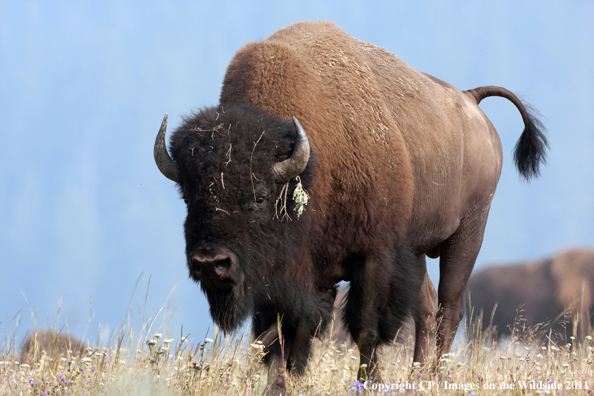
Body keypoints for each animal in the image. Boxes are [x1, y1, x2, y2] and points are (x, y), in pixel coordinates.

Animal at [153, 20, 544, 392]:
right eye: (188, 196)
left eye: (259, 196)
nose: (210, 263)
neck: (310, 167)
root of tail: (470, 100)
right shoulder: (283, 277)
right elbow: (279, 337)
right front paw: (278, 386)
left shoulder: (371, 258)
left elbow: (365, 328)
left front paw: (369, 383)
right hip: (415, 250)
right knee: (427, 307)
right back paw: (416, 379)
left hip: (467, 233)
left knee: (449, 309)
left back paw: (434, 379)